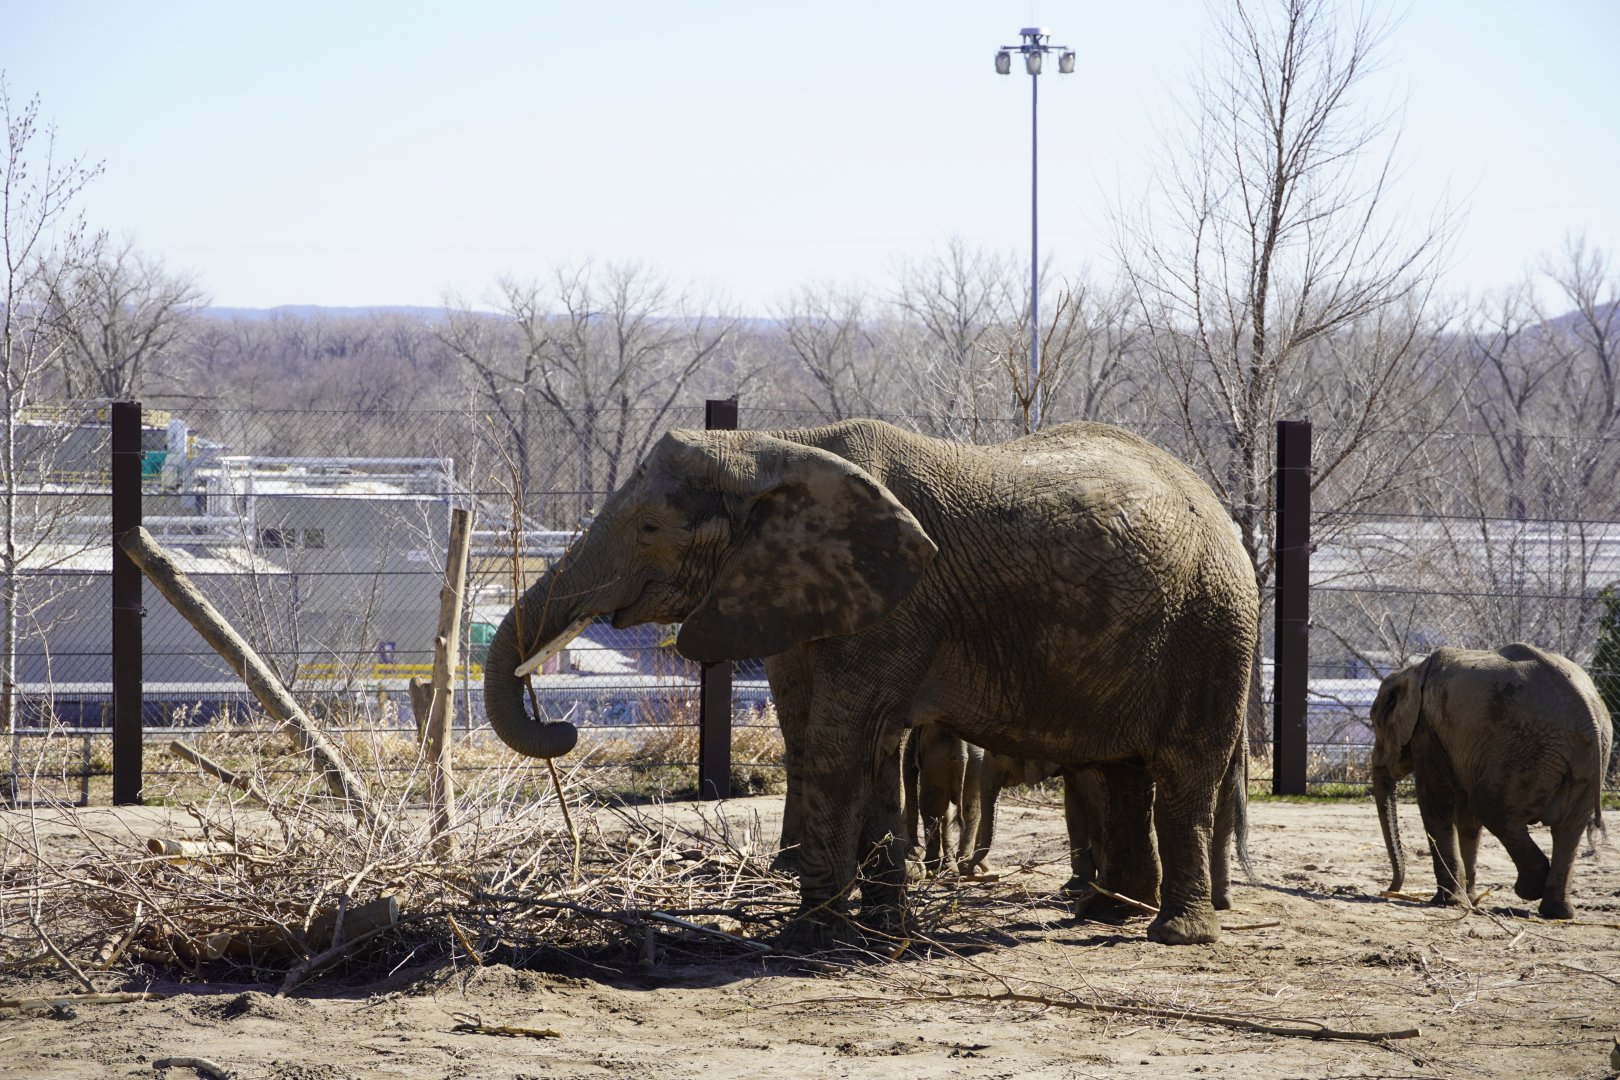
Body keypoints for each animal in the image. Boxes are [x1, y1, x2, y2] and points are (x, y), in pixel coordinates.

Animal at [482, 418, 1260, 946]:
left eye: (649, 528)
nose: (563, 726)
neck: (778, 446)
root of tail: (1223, 510)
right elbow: (853, 740)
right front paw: (884, 932)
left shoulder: (902, 600)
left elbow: (838, 737)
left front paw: (809, 938)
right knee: (1113, 770)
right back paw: (1105, 912)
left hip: (1214, 625)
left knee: (1182, 771)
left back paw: (1173, 931)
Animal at [1370, 642, 1611, 919]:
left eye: (1374, 723)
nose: (1390, 890)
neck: (1412, 671)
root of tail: (1588, 715)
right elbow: (1465, 818)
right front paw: (1469, 899)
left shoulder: (1427, 729)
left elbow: (1436, 801)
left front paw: (1446, 901)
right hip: (1588, 761)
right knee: (1568, 829)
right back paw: (1557, 913)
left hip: (1528, 750)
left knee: (1487, 804)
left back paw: (1528, 890)